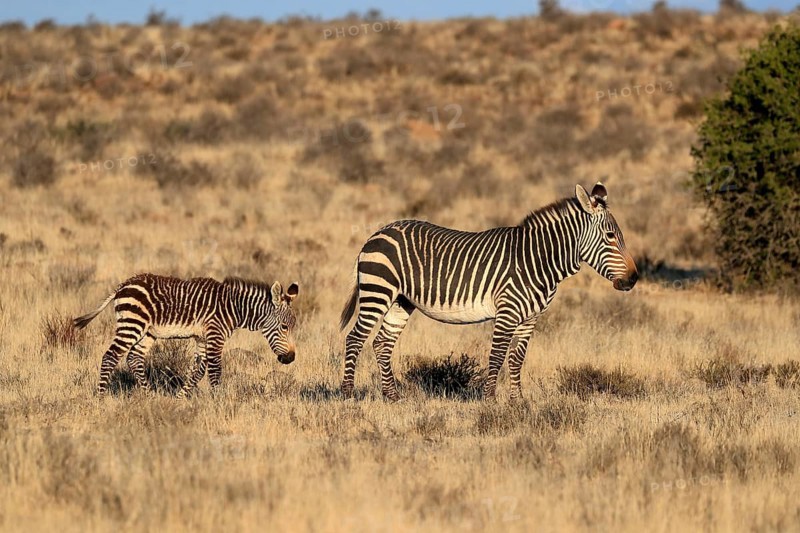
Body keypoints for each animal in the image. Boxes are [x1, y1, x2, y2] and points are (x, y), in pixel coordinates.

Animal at [73, 273, 300, 397]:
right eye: (284, 327)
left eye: (292, 326)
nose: (290, 358)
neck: (233, 308)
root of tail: (123, 285)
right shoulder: (215, 334)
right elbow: (215, 371)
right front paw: (219, 403)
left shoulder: (203, 338)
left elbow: (198, 371)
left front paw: (180, 399)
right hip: (132, 324)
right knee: (110, 357)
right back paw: (101, 399)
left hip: (147, 331)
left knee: (134, 358)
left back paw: (149, 397)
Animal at [339, 183, 638, 401]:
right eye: (611, 236)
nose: (633, 279)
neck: (537, 259)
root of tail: (377, 233)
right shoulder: (507, 313)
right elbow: (497, 356)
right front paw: (490, 401)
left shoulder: (530, 319)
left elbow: (516, 359)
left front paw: (518, 402)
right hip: (377, 291)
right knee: (355, 338)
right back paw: (348, 395)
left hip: (400, 301)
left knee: (382, 343)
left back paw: (392, 396)